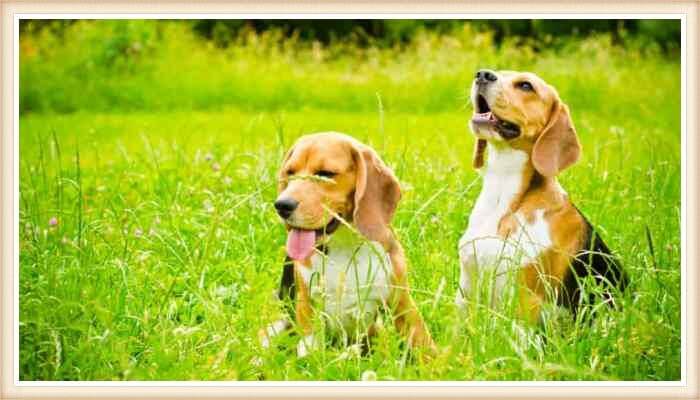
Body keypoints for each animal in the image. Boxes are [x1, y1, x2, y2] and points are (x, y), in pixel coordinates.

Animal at [258, 132, 432, 360]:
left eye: (325, 174)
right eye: (290, 173)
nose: (281, 205)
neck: (344, 245)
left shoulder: (401, 302)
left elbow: (423, 342)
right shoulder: (307, 306)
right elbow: (310, 350)